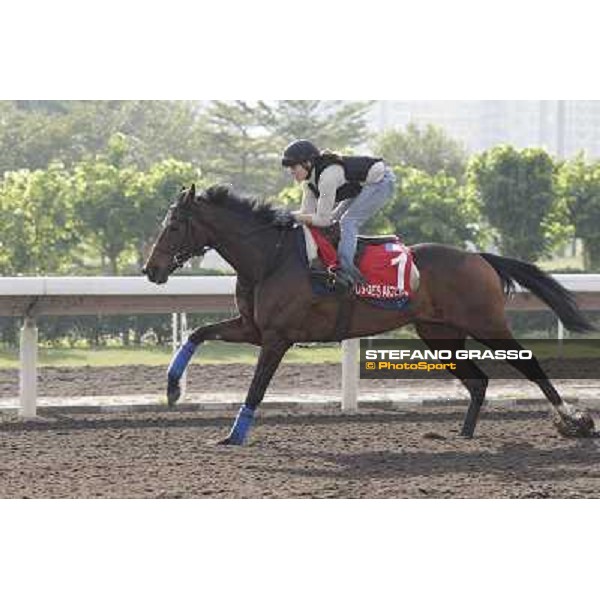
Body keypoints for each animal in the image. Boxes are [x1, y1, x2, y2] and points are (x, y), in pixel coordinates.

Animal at [141, 185, 596, 442]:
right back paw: (463, 434)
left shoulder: (277, 337)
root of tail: (480, 256)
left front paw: (234, 436)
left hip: (485, 322)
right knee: (478, 381)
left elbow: (256, 388)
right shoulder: (252, 328)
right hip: (439, 333)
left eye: (174, 226)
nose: (151, 269)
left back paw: (574, 422)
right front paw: (172, 390)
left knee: (529, 364)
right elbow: (197, 333)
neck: (269, 257)